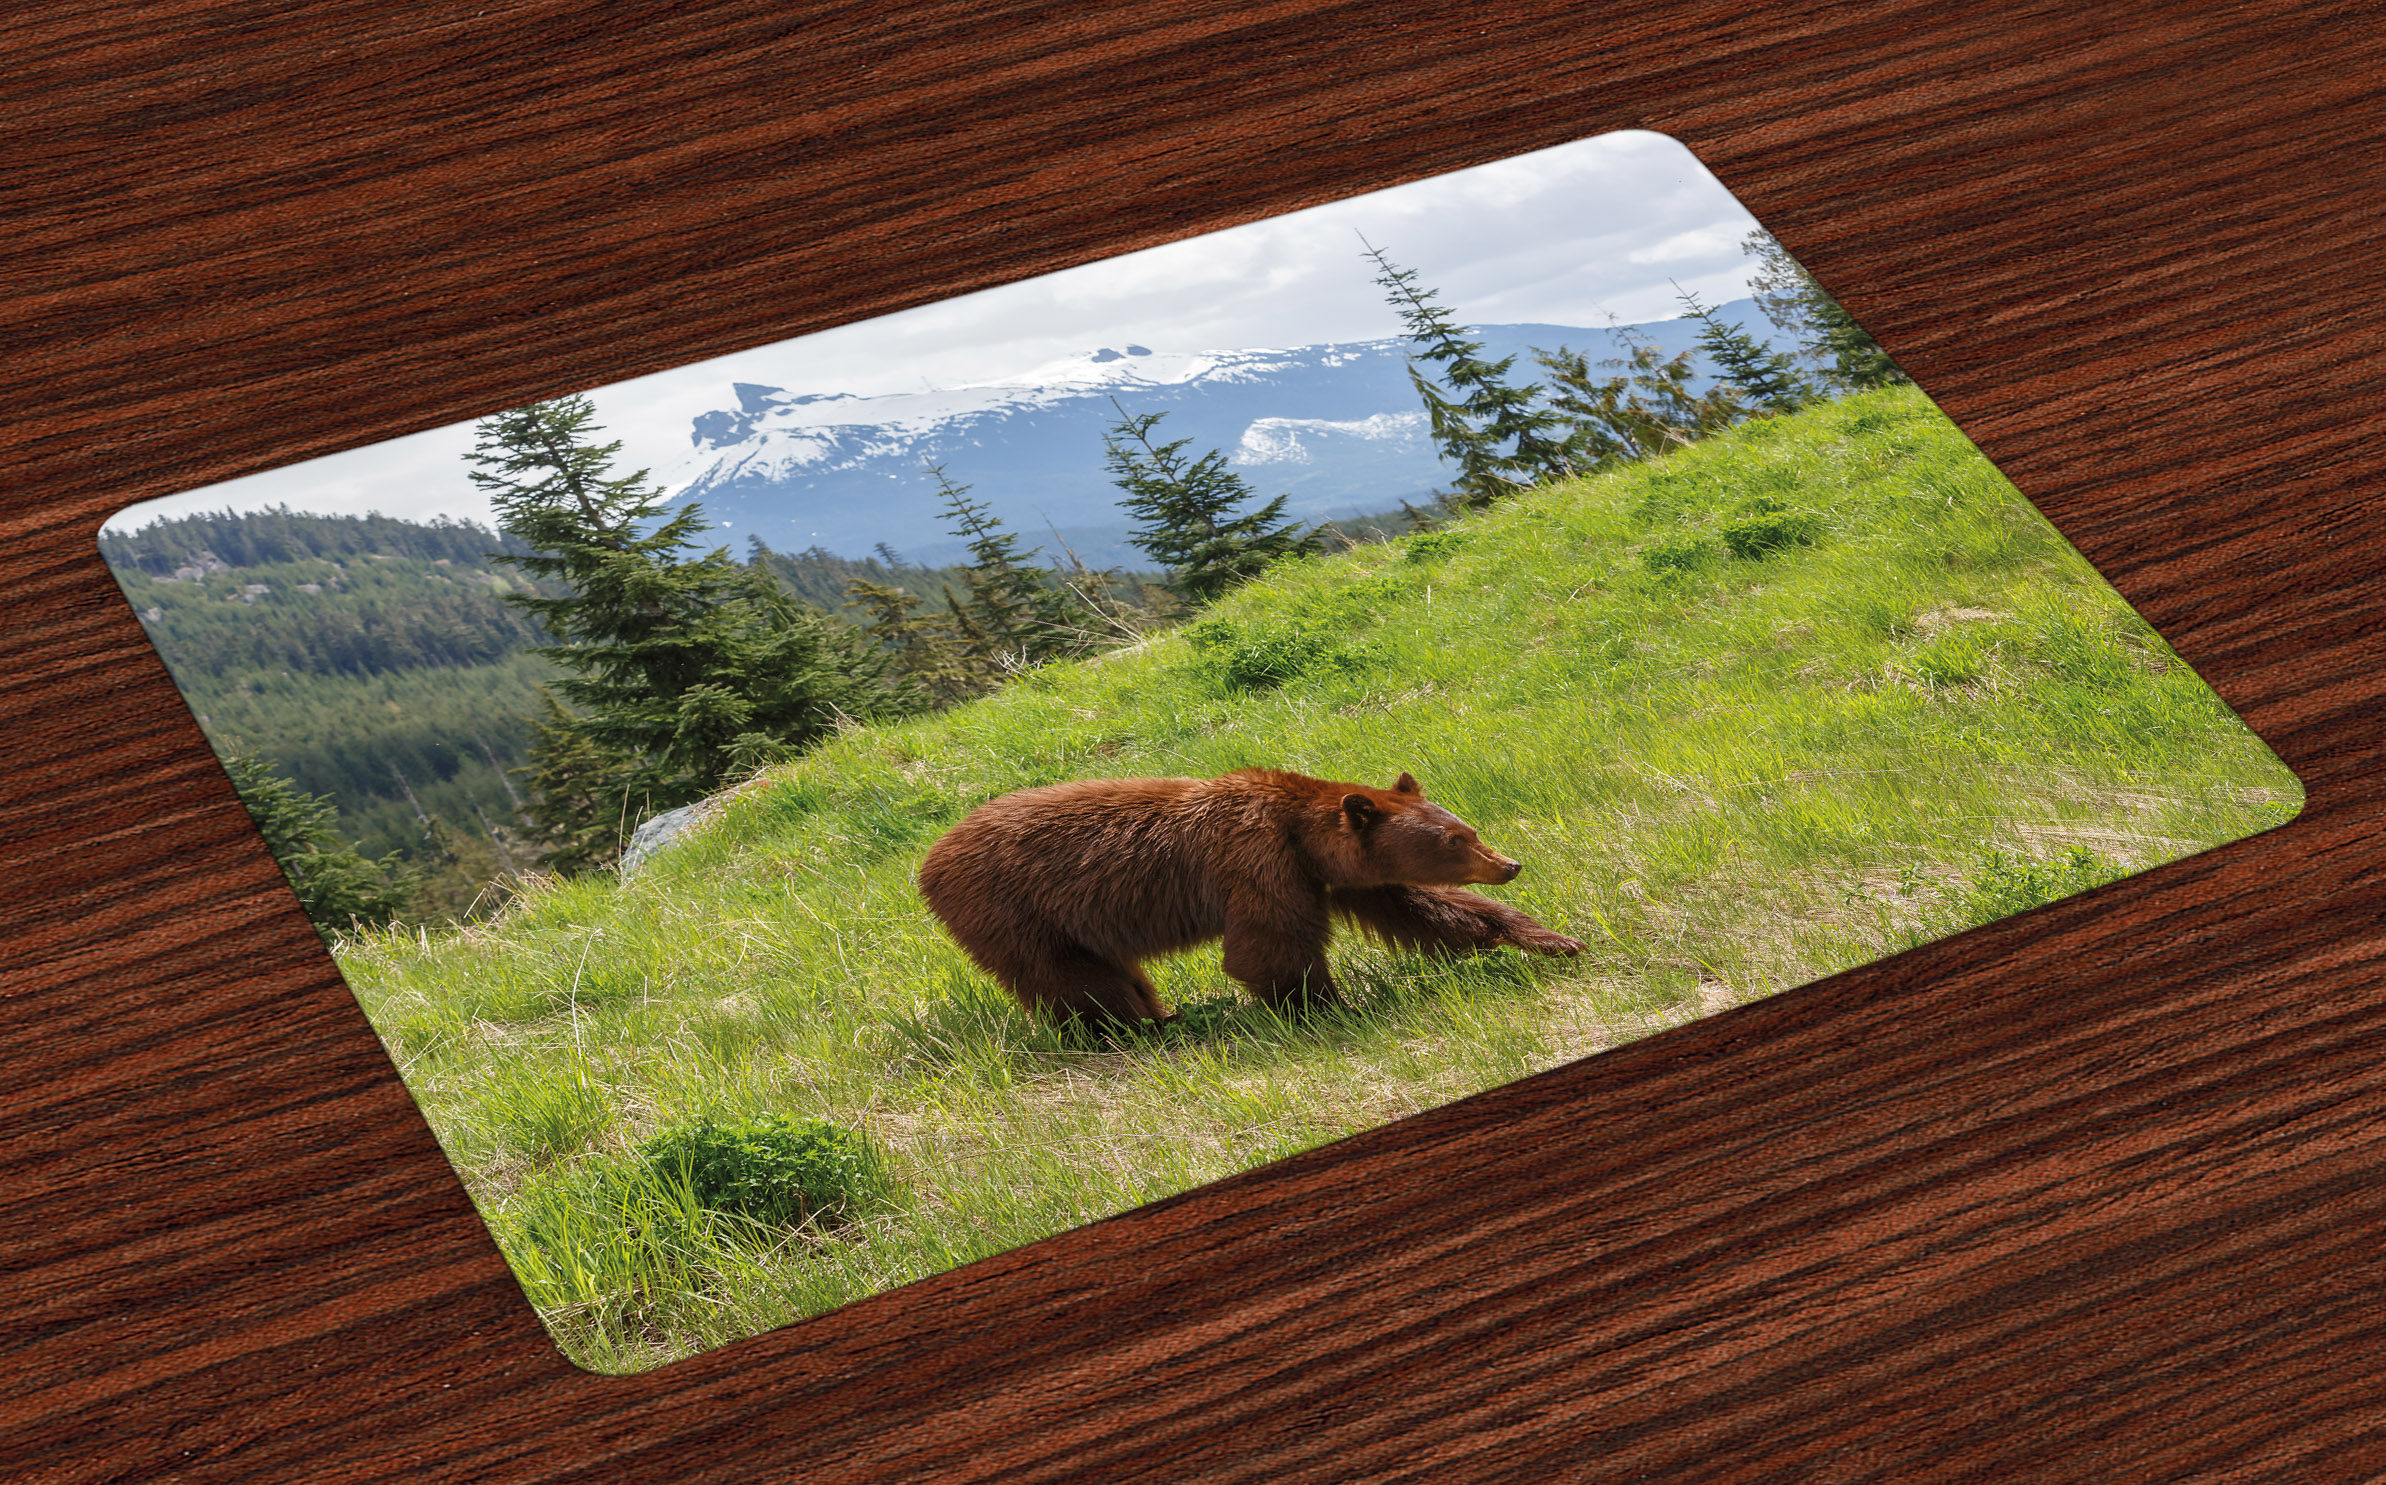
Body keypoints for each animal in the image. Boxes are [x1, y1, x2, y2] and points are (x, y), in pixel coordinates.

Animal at [916, 767, 1584, 1023]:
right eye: (1453, 839)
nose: (1510, 864)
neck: (1301, 833)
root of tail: (927, 861)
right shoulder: (1259, 863)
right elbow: (1268, 946)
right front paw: (1327, 1004)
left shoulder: (1336, 875)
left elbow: (1420, 906)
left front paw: (1552, 939)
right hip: (1012, 909)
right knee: (1069, 978)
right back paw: (1138, 1029)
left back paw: (1160, 1015)